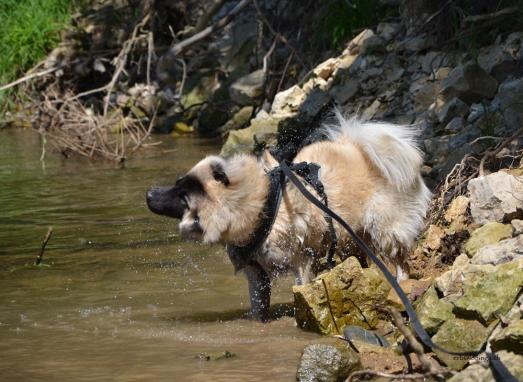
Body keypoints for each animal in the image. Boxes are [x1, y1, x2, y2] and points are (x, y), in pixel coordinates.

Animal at [146, 112, 430, 320]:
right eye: (176, 185)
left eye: (181, 194)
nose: (148, 193)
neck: (259, 204)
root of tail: (362, 151)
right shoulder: (257, 275)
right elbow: (258, 307)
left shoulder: (301, 263)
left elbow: (301, 291)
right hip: (353, 239)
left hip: (385, 230)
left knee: (399, 260)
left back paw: (401, 283)